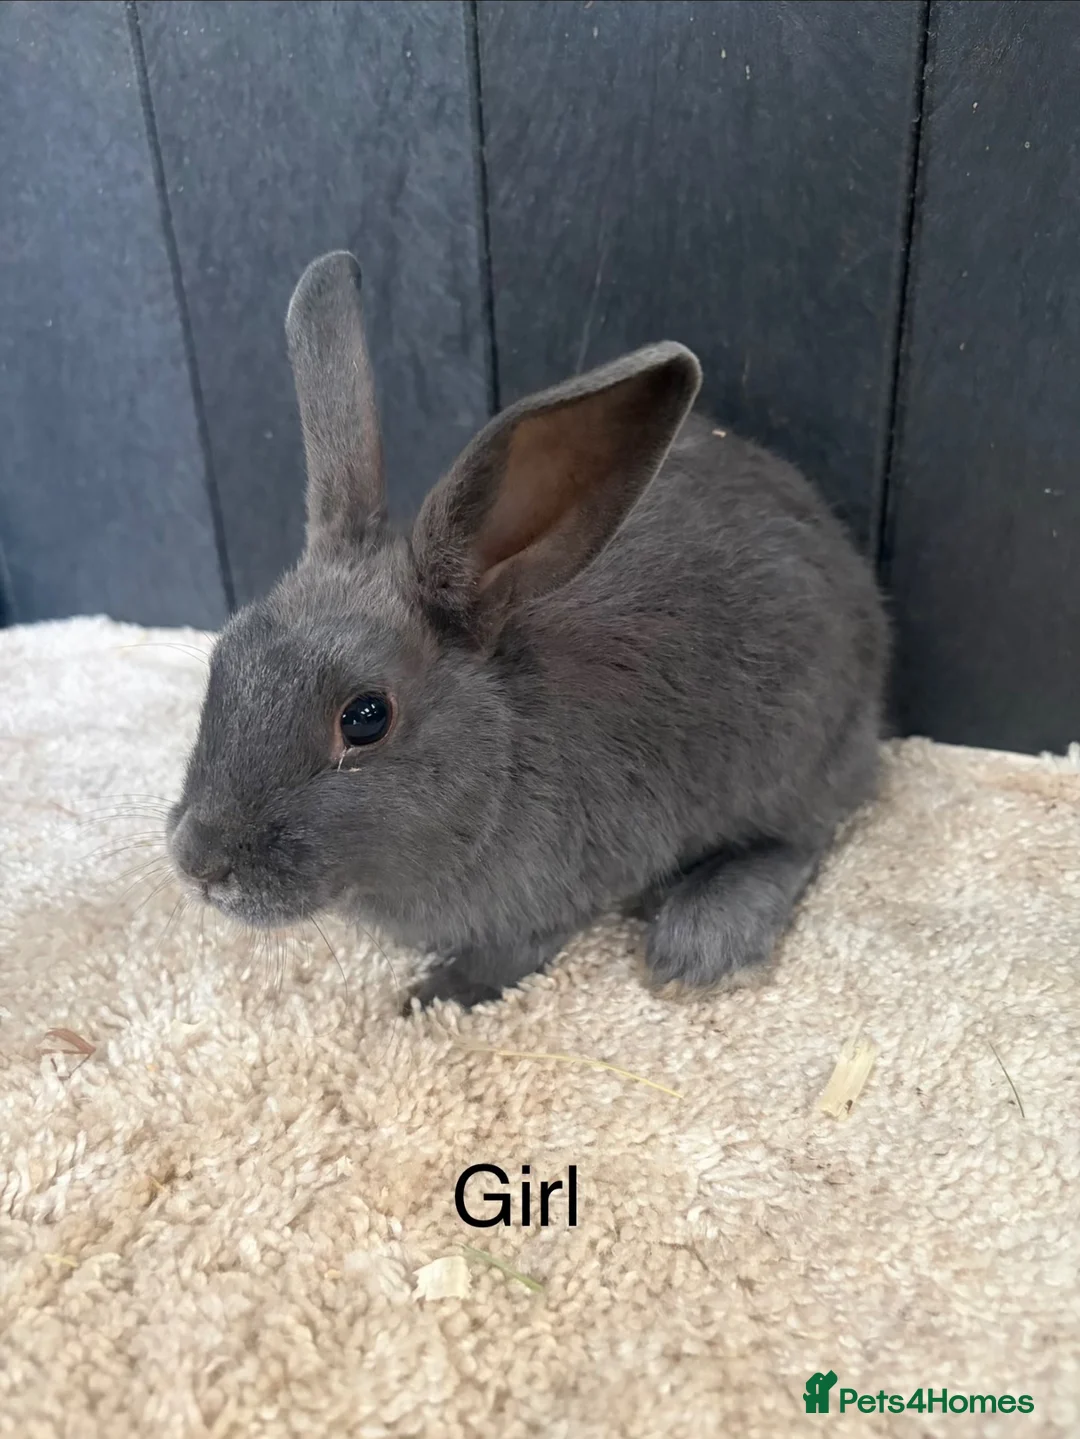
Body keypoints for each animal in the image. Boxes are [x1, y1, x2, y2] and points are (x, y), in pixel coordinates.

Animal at [167, 250, 889, 1011]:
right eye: (224, 656)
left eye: (365, 718)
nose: (198, 864)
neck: (497, 761)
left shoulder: (557, 894)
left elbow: (511, 954)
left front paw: (429, 996)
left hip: (795, 749)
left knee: (804, 836)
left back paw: (700, 945)